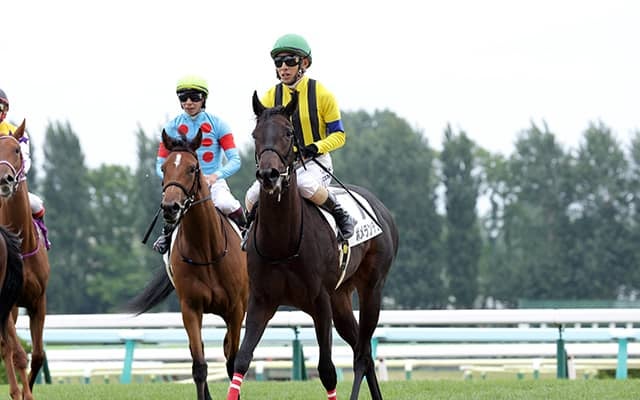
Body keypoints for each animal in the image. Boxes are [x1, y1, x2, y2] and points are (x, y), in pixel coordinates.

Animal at [127, 129, 248, 400]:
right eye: (164, 168)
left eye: (193, 168)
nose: (170, 207)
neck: (207, 250)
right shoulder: (190, 308)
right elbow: (199, 366)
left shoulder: (235, 309)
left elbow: (232, 361)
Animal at [226, 92, 399, 400]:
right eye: (255, 134)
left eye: (288, 132)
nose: (268, 175)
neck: (283, 243)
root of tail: (382, 210)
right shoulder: (261, 301)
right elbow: (242, 360)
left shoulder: (320, 302)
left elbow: (327, 370)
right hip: (341, 298)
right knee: (363, 350)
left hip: (372, 289)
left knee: (362, 354)